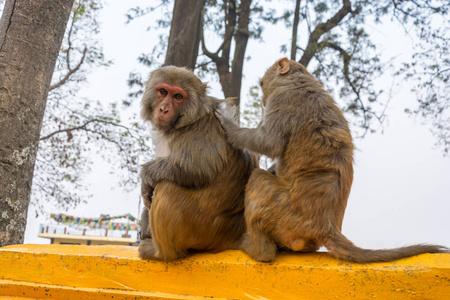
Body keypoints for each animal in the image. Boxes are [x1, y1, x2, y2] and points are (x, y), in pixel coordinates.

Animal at [137, 65, 256, 260]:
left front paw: (146, 176)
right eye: (163, 91)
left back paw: (160, 252)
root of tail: (233, 236)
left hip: (202, 230)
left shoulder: (202, 130)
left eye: (178, 96)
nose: (163, 109)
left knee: (167, 186)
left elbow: (195, 170)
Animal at [216, 56, 448, 262]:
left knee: (259, 180)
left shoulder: (284, 99)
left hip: (284, 211)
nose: (263, 101)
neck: (299, 81)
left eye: (262, 85)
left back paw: (259, 251)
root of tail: (326, 226)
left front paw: (228, 124)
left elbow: (269, 143)